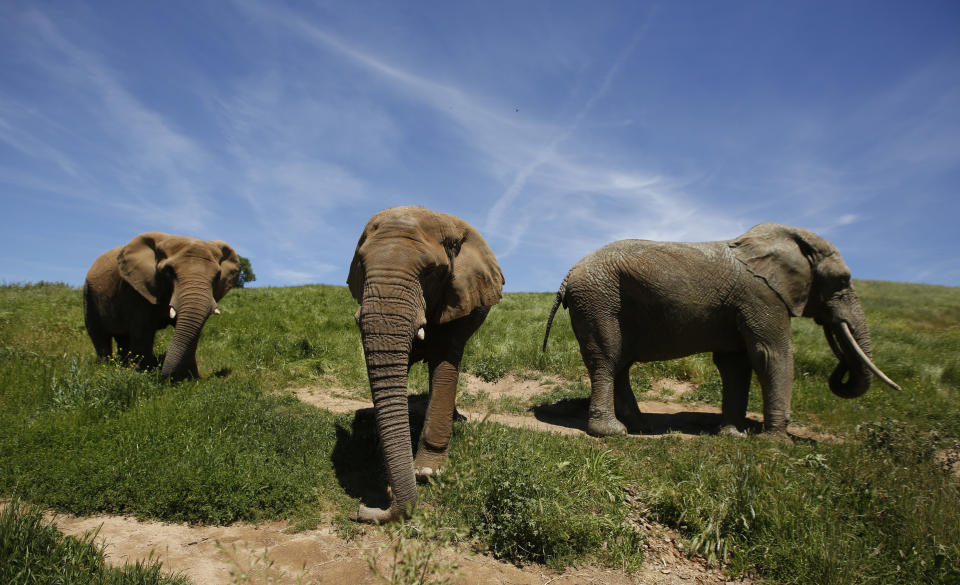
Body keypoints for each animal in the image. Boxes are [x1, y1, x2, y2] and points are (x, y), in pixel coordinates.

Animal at [83, 233, 240, 384]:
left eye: (218, 275)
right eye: (169, 271)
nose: (164, 378)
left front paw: (188, 378)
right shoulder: (136, 290)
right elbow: (143, 331)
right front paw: (145, 374)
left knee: (122, 338)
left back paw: (123, 365)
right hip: (88, 294)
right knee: (99, 335)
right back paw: (107, 367)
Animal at [346, 208, 510, 524]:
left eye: (431, 272)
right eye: (361, 265)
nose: (360, 511)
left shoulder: (460, 294)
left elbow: (446, 367)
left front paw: (426, 473)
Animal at [544, 224, 904, 438]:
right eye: (842, 281)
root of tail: (568, 274)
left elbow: (736, 363)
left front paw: (733, 435)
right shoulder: (761, 296)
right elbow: (771, 354)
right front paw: (776, 442)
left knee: (620, 362)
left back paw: (641, 427)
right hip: (599, 299)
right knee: (607, 358)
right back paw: (613, 432)